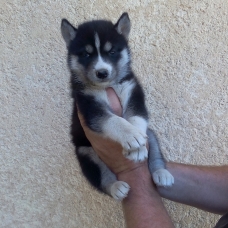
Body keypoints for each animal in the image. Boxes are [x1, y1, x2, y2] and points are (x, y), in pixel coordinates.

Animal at [61, 12, 174, 200]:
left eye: (112, 52)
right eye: (86, 55)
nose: (102, 72)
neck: (107, 86)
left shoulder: (132, 91)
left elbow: (136, 117)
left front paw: (138, 148)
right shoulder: (89, 105)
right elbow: (113, 120)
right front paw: (131, 136)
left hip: (151, 135)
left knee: (156, 155)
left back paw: (162, 174)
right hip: (86, 153)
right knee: (102, 177)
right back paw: (115, 187)